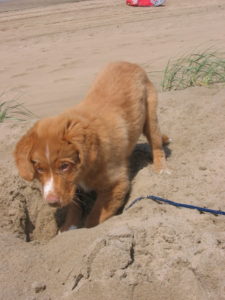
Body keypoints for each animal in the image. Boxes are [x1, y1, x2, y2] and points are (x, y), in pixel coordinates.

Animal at [14, 61, 168, 230]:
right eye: (39, 169)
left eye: (64, 166)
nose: (52, 202)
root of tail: (127, 63)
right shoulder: (72, 185)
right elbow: (73, 205)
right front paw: (68, 227)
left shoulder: (116, 184)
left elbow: (93, 220)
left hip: (150, 114)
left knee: (156, 144)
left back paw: (161, 169)